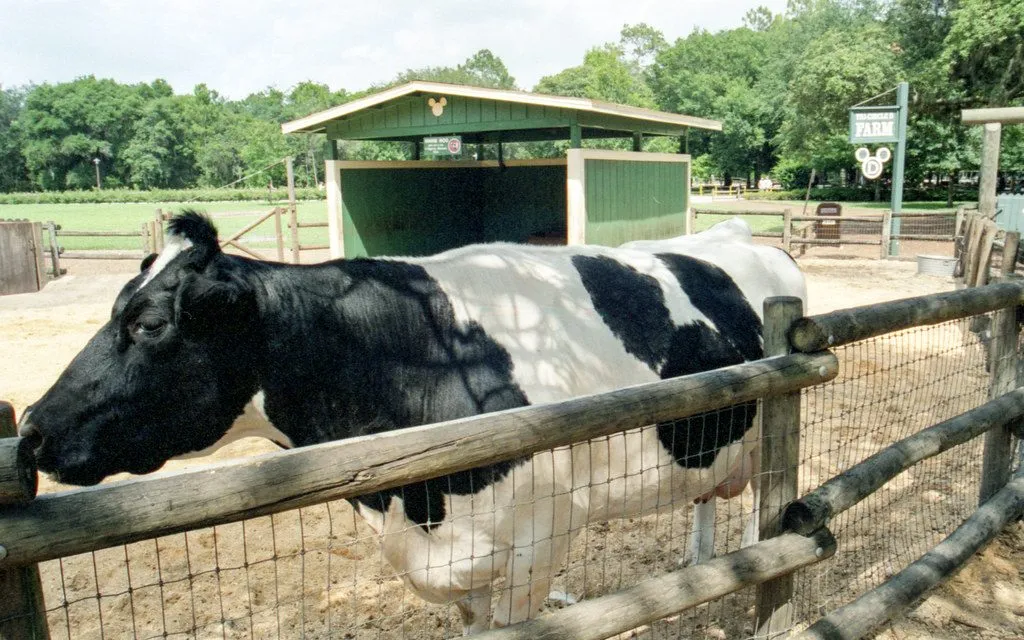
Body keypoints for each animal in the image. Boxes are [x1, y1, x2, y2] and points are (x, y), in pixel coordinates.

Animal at [18, 211, 806, 633]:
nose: (31, 429)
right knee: (707, 496)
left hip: (767, 425)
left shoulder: (538, 541)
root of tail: (747, 235)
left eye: (148, 323)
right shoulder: (456, 559)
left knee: (763, 512)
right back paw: (698, 568)